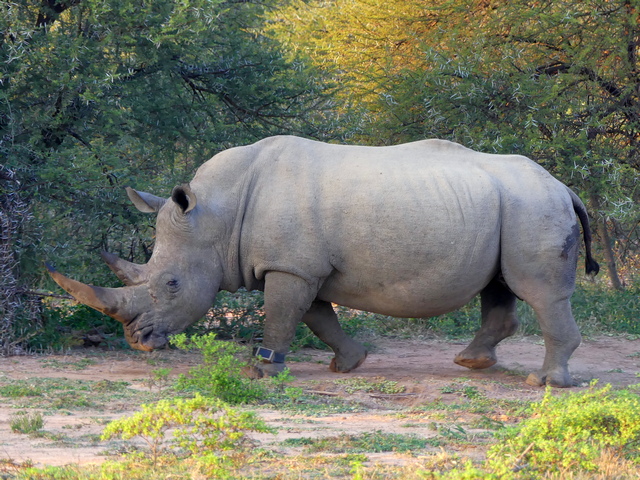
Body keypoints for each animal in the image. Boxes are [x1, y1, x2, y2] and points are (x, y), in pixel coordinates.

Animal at [47, 135, 599, 387]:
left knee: (537, 290)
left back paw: (545, 384)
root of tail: (563, 186)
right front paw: (348, 363)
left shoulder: (289, 266)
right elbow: (315, 316)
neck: (218, 216)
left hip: (533, 207)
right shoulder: (300, 265)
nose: (136, 342)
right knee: (500, 286)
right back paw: (472, 363)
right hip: (511, 207)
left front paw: (260, 370)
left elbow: (282, 315)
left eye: (172, 284)